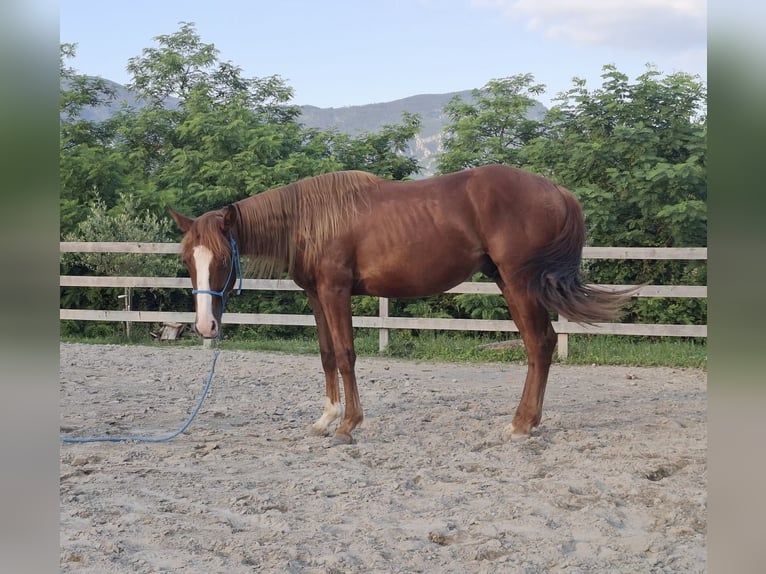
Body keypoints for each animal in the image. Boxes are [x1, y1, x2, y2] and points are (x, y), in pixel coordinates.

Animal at [170, 164, 631, 444]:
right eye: (187, 259)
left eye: (223, 259)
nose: (206, 326)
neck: (312, 221)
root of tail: (558, 190)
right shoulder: (317, 295)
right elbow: (326, 355)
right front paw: (326, 418)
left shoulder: (336, 292)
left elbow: (346, 354)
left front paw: (349, 425)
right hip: (507, 281)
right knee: (543, 343)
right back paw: (528, 421)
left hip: (519, 282)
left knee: (539, 344)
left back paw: (520, 425)